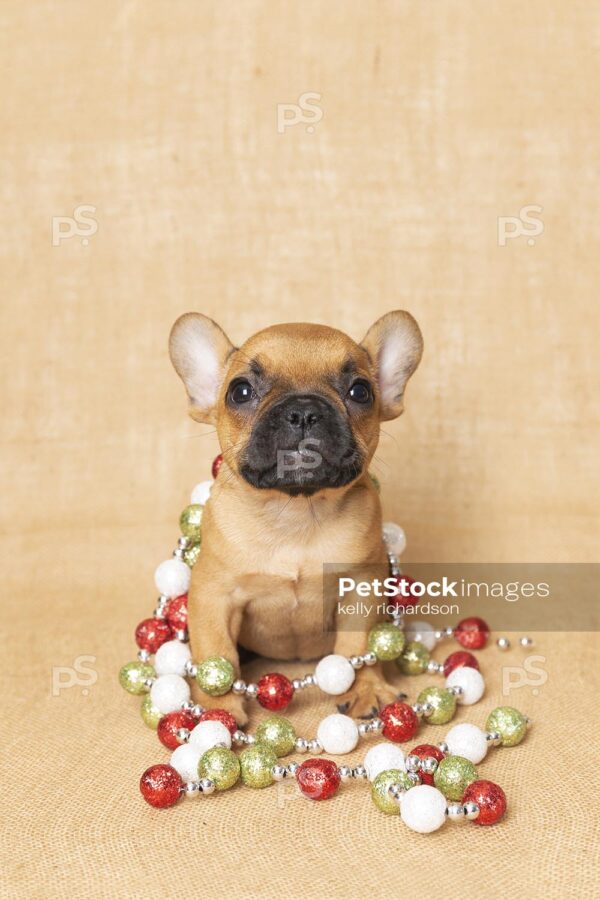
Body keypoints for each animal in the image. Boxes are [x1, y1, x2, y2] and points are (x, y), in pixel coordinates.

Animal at [168, 312, 422, 724]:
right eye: (240, 392)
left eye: (361, 392)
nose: (304, 412)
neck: (295, 512)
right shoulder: (213, 595)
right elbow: (217, 653)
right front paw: (218, 710)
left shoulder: (362, 587)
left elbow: (357, 646)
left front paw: (365, 687)